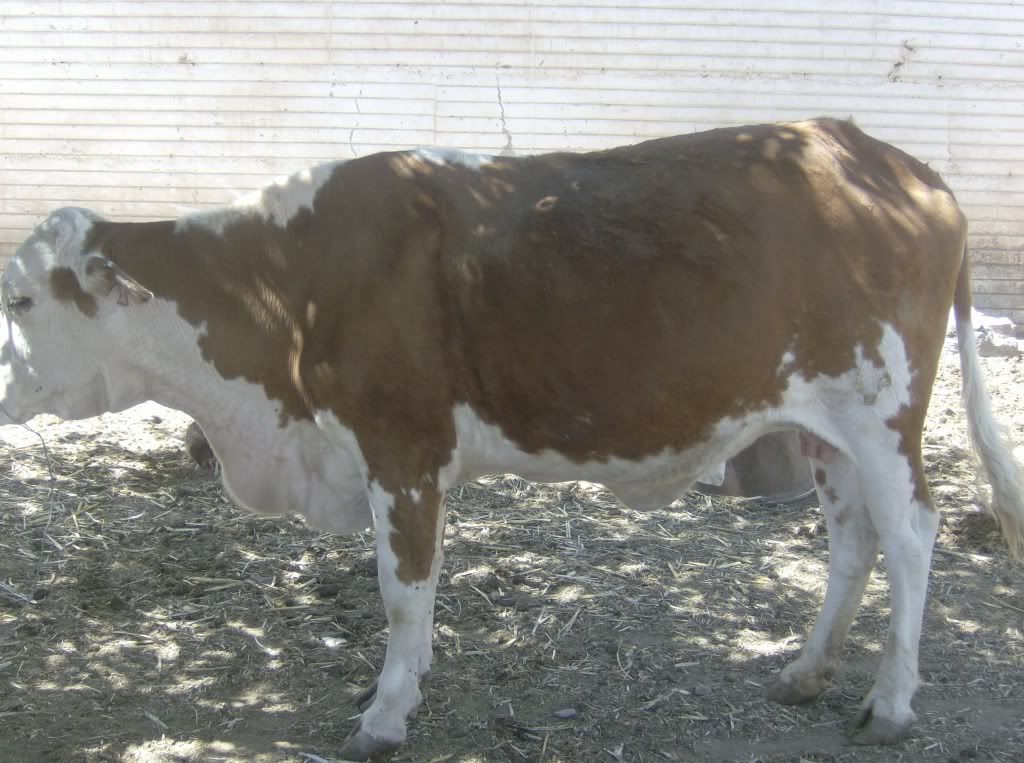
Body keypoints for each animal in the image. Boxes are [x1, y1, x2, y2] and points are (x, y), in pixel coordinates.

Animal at [1, 118, 1022, 759]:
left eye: (17, 299)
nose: (4, 390)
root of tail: (882, 157)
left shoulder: (403, 451)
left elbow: (402, 593)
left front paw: (385, 716)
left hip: (882, 412)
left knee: (912, 535)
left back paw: (892, 702)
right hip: (828, 426)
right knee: (853, 538)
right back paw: (807, 672)